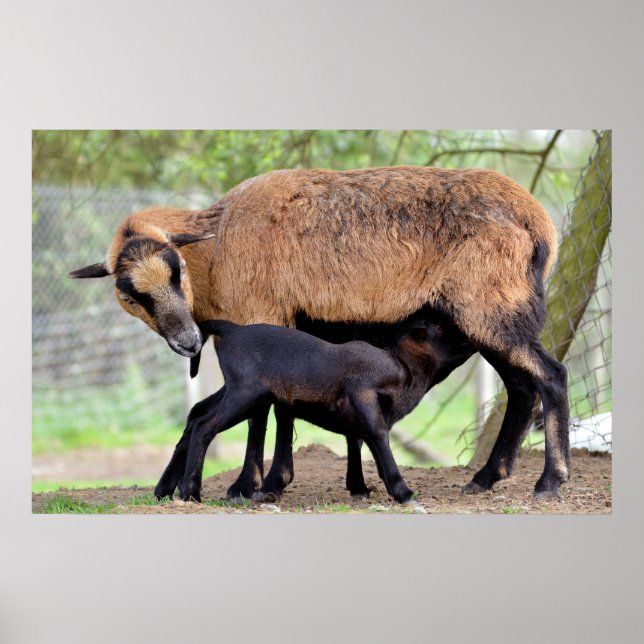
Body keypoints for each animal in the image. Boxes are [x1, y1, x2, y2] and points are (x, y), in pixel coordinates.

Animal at [155, 306, 474, 502]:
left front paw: (365, 488)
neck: (403, 367)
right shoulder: (363, 392)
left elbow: (364, 441)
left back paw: (165, 489)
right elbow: (377, 436)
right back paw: (191, 492)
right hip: (245, 395)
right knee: (204, 426)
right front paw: (404, 492)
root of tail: (232, 330)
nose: (470, 335)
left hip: (235, 392)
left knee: (195, 417)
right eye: (440, 327)